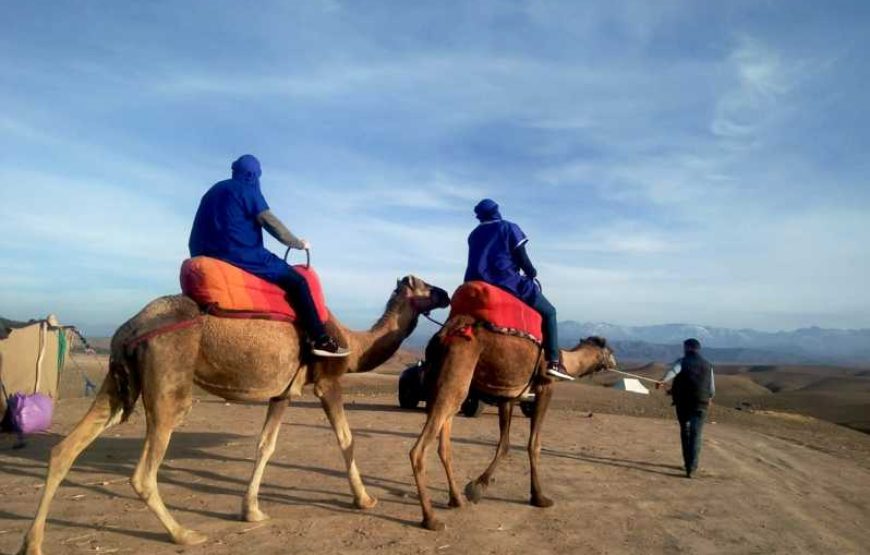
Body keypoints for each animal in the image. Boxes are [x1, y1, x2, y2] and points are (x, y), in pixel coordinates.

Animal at [18, 276, 450, 552]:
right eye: (424, 284)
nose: (446, 294)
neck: (354, 344)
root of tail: (127, 330)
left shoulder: (282, 393)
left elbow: (265, 446)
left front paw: (252, 511)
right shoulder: (327, 381)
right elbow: (347, 439)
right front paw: (365, 500)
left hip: (117, 382)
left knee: (65, 449)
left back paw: (33, 543)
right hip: (170, 381)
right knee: (143, 471)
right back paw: (184, 534)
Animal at [412, 314, 616, 532]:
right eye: (609, 350)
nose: (614, 361)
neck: (566, 360)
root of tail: (443, 336)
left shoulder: (508, 396)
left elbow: (504, 444)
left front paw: (477, 487)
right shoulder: (545, 387)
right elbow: (534, 444)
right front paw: (539, 497)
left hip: (444, 383)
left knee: (444, 446)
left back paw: (456, 500)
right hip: (455, 376)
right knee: (419, 450)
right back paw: (430, 519)